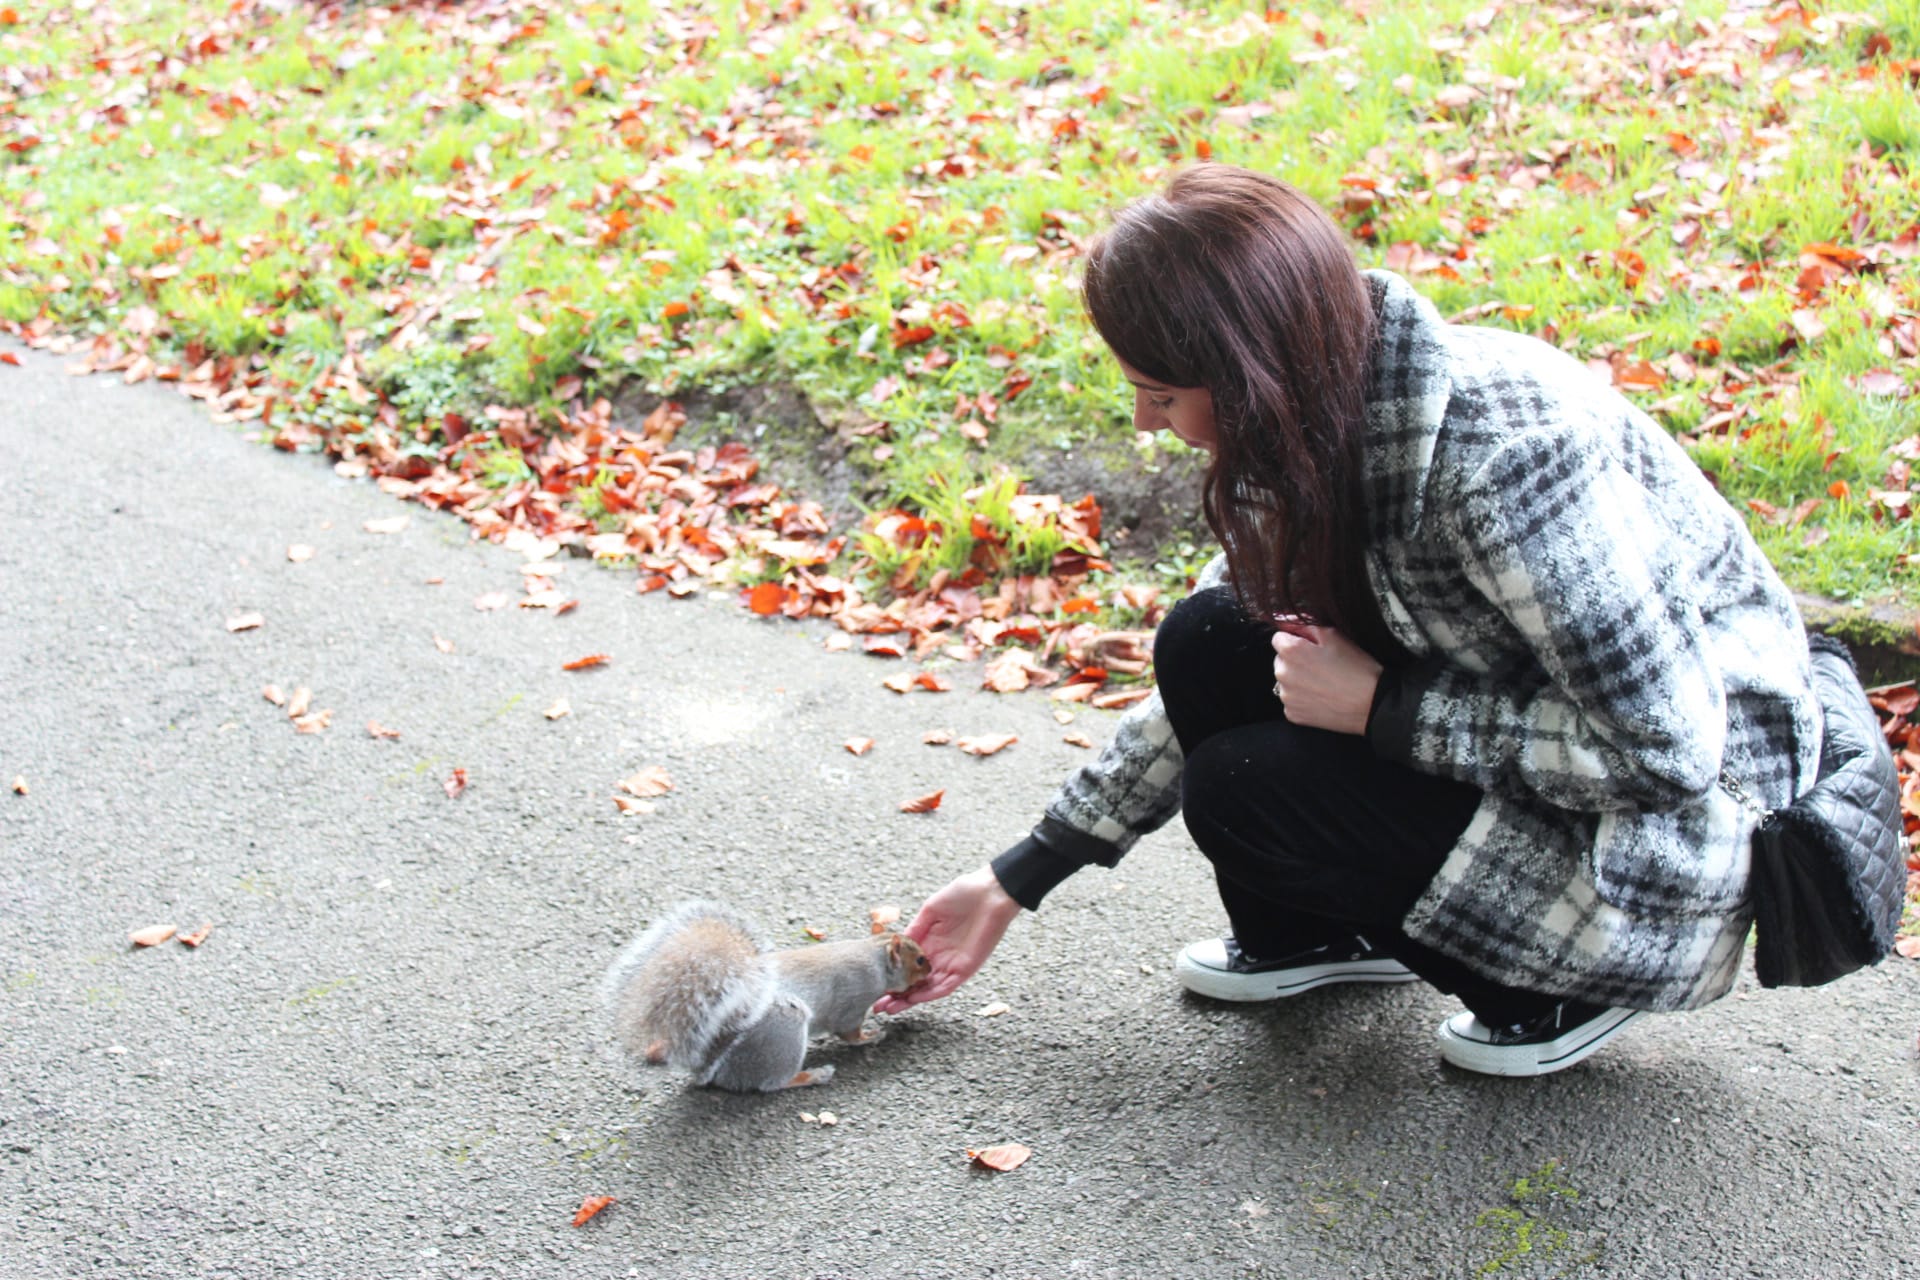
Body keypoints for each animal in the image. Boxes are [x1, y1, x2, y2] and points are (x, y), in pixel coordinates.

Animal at [599, 901, 929, 1090]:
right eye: (919, 960)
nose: (932, 968)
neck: (872, 955)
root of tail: (712, 1065)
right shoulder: (853, 1000)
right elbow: (849, 1032)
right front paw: (871, 1036)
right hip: (784, 1029)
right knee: (771, 1083)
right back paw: (811, 1076)